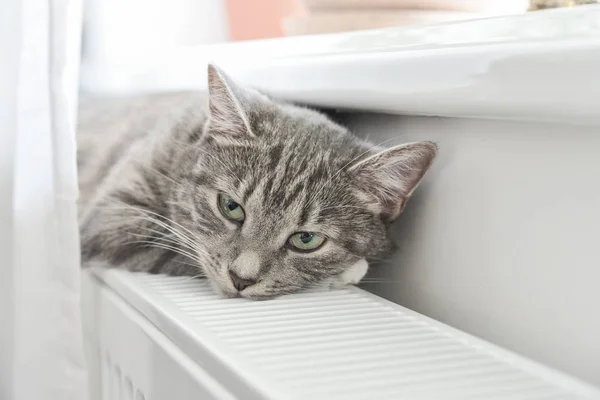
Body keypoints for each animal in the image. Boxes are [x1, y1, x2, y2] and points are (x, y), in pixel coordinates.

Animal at [78, 64, 436, 298]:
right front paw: (346, 273)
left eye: (306, 239)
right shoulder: (112, 218)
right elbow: (181, 252)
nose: (241, 279)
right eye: (230, 207)